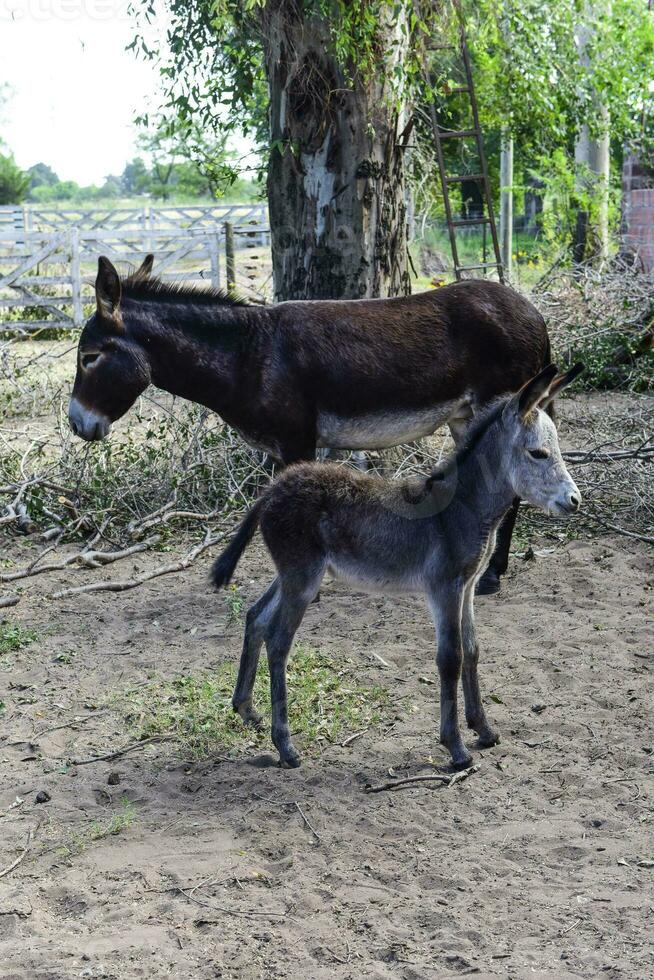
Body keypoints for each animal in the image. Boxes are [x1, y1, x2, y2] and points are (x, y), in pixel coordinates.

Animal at [214, 364, 584, 768]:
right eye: (538, 453)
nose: (575, 500)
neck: (462, 508)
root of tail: (272, 490)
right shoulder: (443, 588)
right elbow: (450, 658)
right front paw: (456, 748)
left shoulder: (468, 586)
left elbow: (472, 650)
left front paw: (484, 730)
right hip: (303, 579)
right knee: (279, 641)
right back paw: (285, 745)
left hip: (294, 574)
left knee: (256, 617)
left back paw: (246, 709)